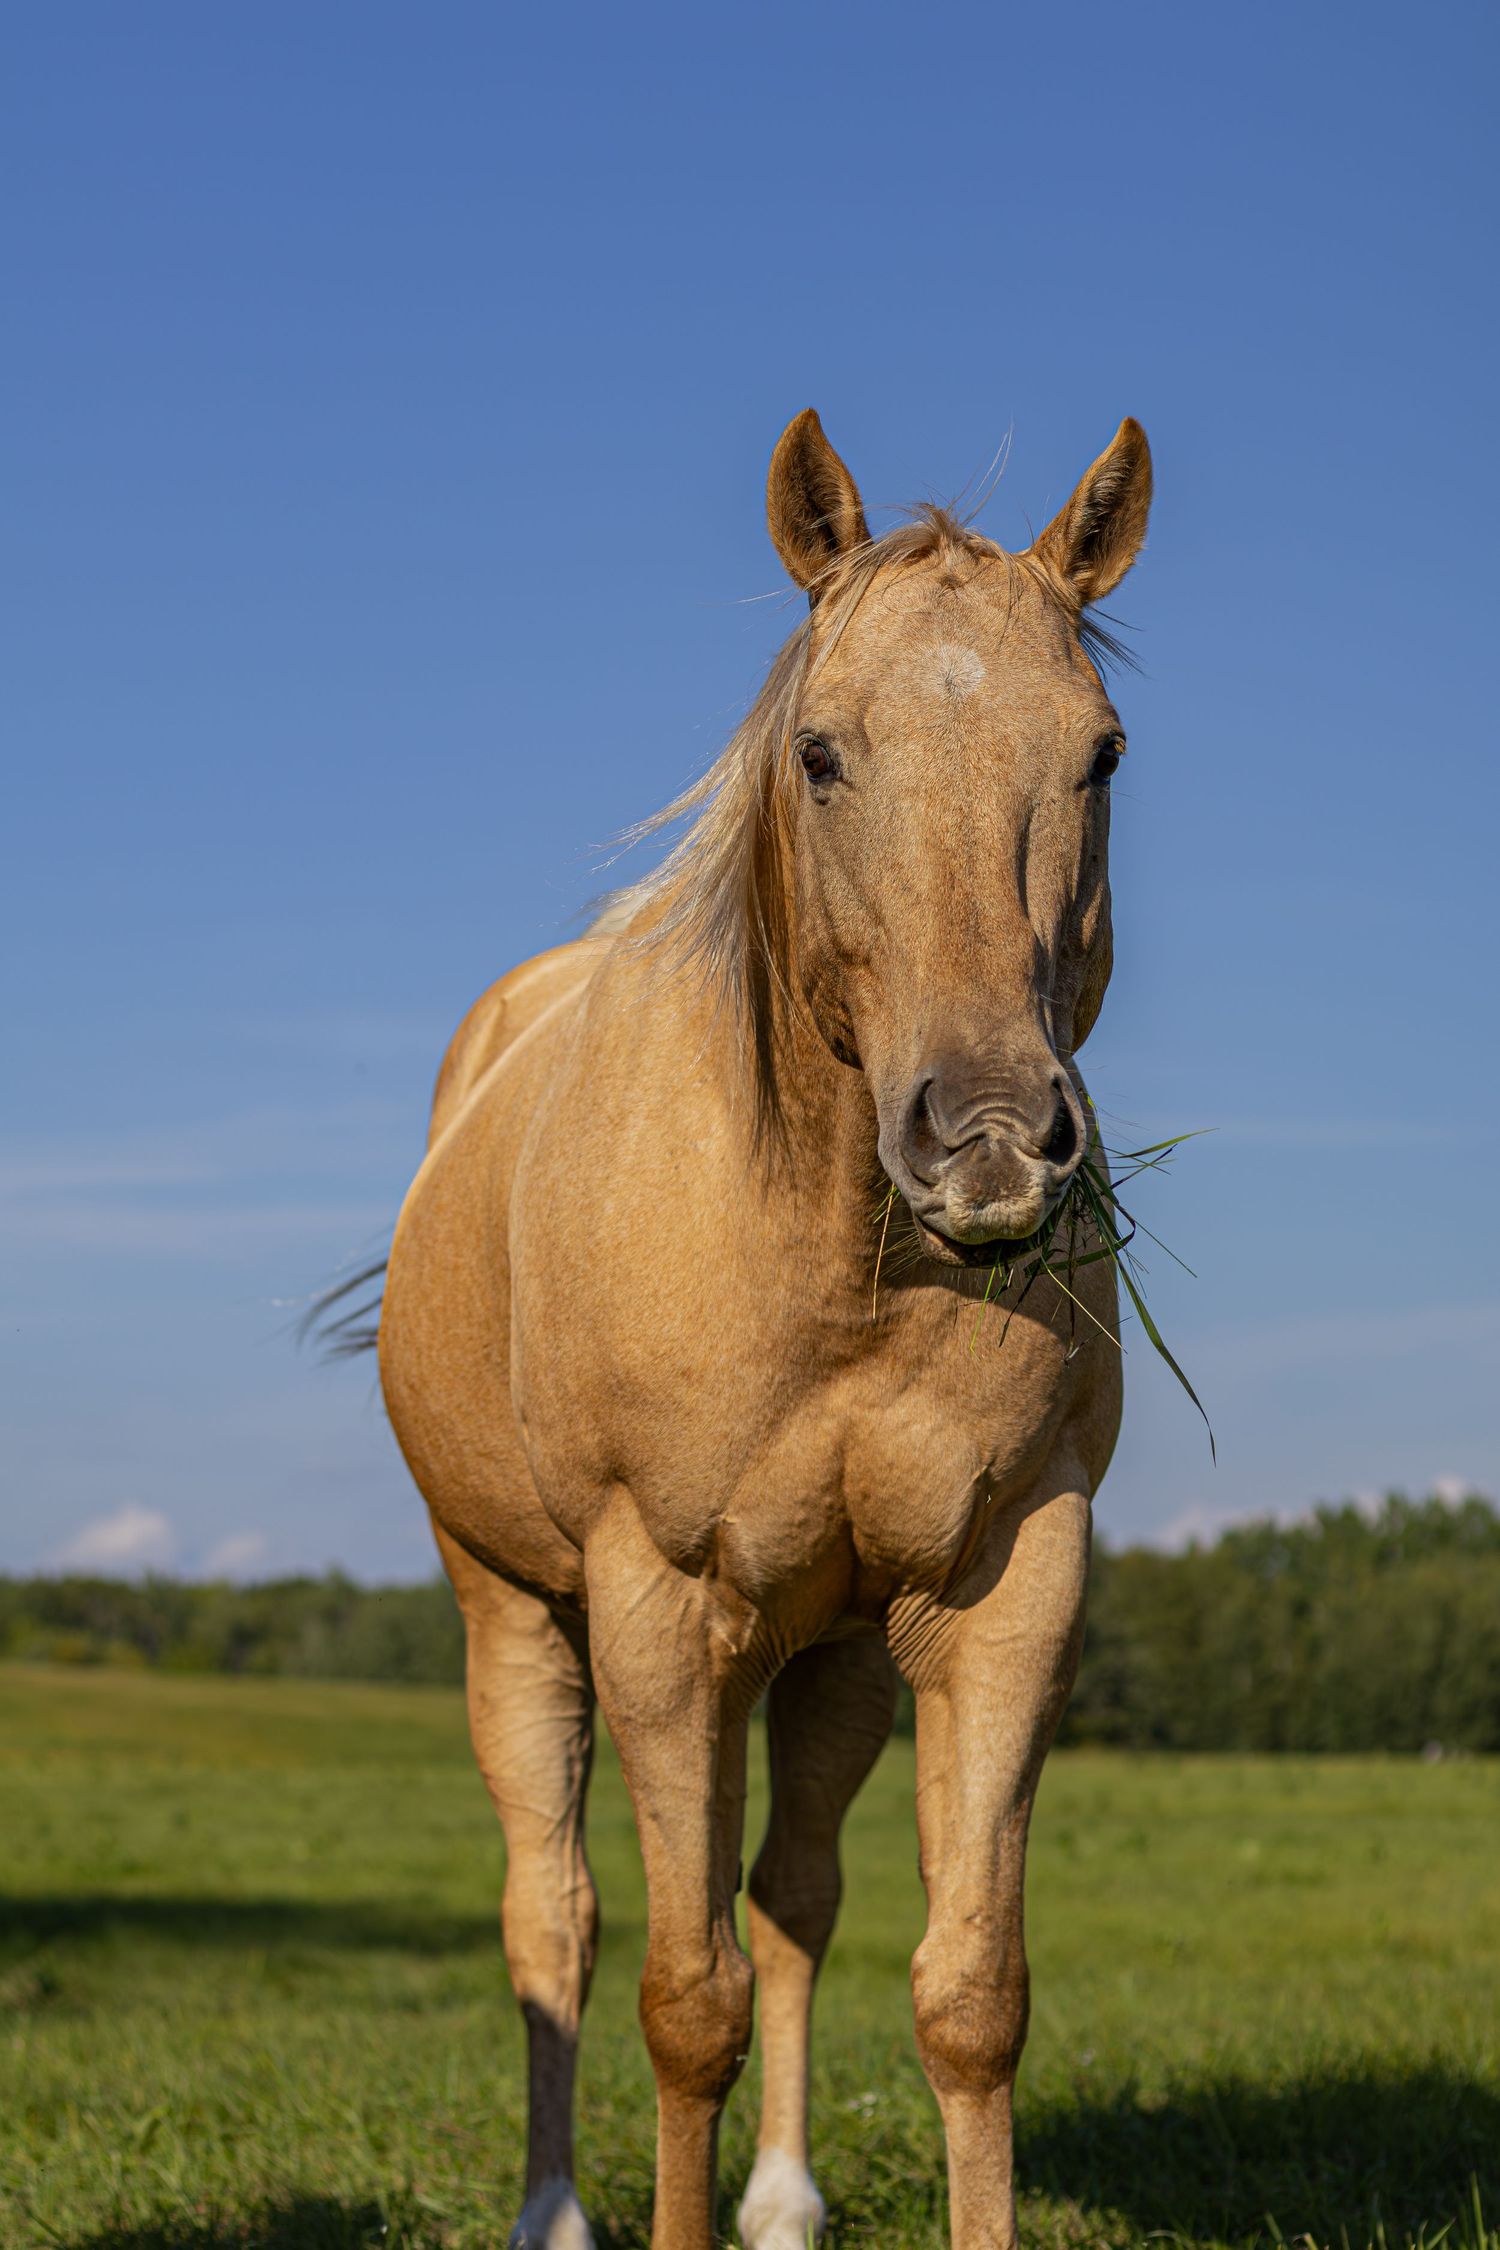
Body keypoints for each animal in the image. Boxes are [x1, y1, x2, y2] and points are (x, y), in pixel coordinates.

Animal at [376, 405, 1153, 2250]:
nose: (992, 1139)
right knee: (558, 1913)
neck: (836, 1272)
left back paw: (787, 2203)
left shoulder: (1008, 1590)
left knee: (792, 1891)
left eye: (1101, 754)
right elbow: (685, 1999)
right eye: (819, 753)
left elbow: (967, 1995)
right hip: (519, 1611)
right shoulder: (661, 1606)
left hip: (836, 1651)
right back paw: (552, 2209)